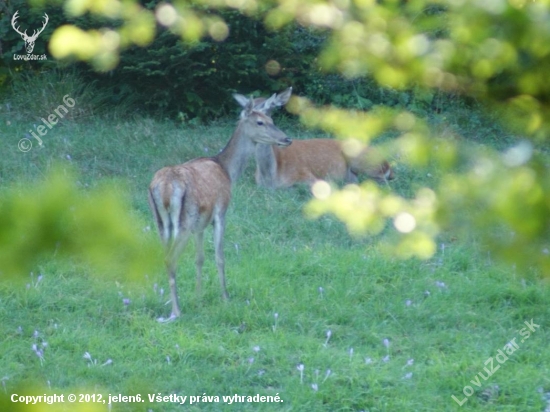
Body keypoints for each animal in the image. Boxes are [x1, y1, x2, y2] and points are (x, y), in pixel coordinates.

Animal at [147, 94, 294, 322]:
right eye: (260, 122)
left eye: (272, 119)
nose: (287, 139)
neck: (227, 170)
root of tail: (163, 187)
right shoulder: (221, 211)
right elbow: (220, 257)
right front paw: (225, 296)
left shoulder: (199, 224)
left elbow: (199, 258)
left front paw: (198, 296)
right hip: (184, 222)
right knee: (171, 259)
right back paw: (176, 311)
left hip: (161, 223)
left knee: (163, 258)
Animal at [237, 88, 396, 190]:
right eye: (258, 121)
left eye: (270, 113)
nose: (286, 139)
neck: (271, 176)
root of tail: (387, 163)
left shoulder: (307, 176)